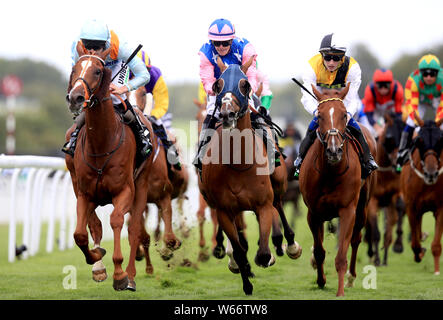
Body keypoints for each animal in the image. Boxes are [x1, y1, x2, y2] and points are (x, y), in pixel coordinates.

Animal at [63, 43, 152, 292]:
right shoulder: (84, 193)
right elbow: (81, 233)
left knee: (134, 230)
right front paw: (96, 260)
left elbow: (117, 221)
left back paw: (131, 276)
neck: (102, 141)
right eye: (74, 69)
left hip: (142, 185)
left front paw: (120, 275)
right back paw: (99, 266)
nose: (75, 97)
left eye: (97, 71)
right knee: (94, 224)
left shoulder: (125, 190)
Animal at [300, 84, 376, 296]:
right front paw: (321, 280)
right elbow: (319, 251)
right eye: (320, 116)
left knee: (356, 239)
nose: (334, 151)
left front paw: (340, 291)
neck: (330, 171)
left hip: (363, 206)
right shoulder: (313, 213)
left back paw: (351, 278)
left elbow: (342, 254)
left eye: (343, 114)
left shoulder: (348, 210)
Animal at [364, 111, 406, 266]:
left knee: (389, 226)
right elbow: (375, 232)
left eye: (407, 136)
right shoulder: (372, 201)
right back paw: (372, 253)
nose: (399, 162)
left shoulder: (395, 193)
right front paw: (376, 259)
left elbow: (400, 207)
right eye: (390, 137)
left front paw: (398, 245)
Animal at [400, 113, 443, 276]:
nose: (431, 173)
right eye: (420, 141)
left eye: (440, 139)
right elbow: (415, 244)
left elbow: (436, 244)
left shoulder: (440, 208)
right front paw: (419, 252)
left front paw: (437, 270)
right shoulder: (411, 207)